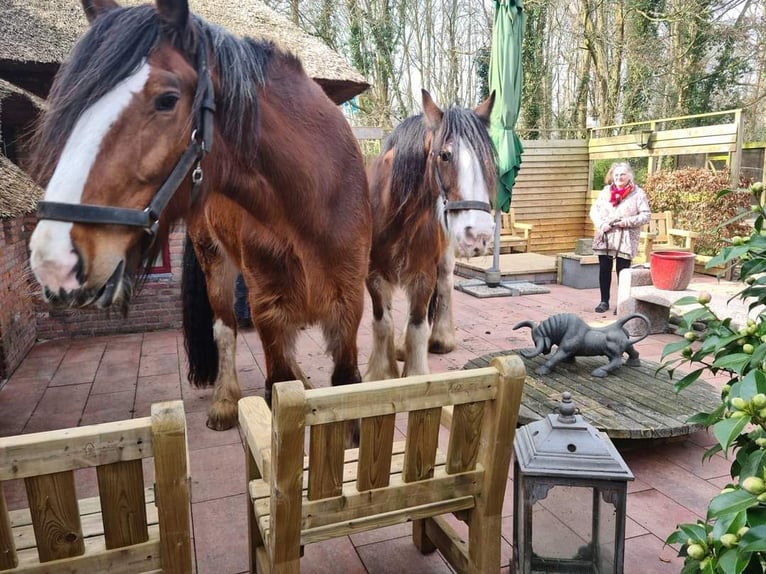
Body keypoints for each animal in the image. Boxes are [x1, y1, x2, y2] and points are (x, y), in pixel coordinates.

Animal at [24, 0, 372, 432]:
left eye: (167, 99)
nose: (51, 258)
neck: (309, 212)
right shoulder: (267, 307)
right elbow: (275, 387)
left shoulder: (349, 307)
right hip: (217, 264)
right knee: (225, 328)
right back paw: (225, 401)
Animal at [366, 91, 498, 382]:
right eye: (445, 155)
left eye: (488, 160)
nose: (480, 235)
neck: (395, 214)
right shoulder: (374, 274)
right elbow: (383, 321)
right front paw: (381, 373)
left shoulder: (423, 273)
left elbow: (417, 324)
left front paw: (415, 375)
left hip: (445, 255)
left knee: (446, 284)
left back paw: (440, 338)